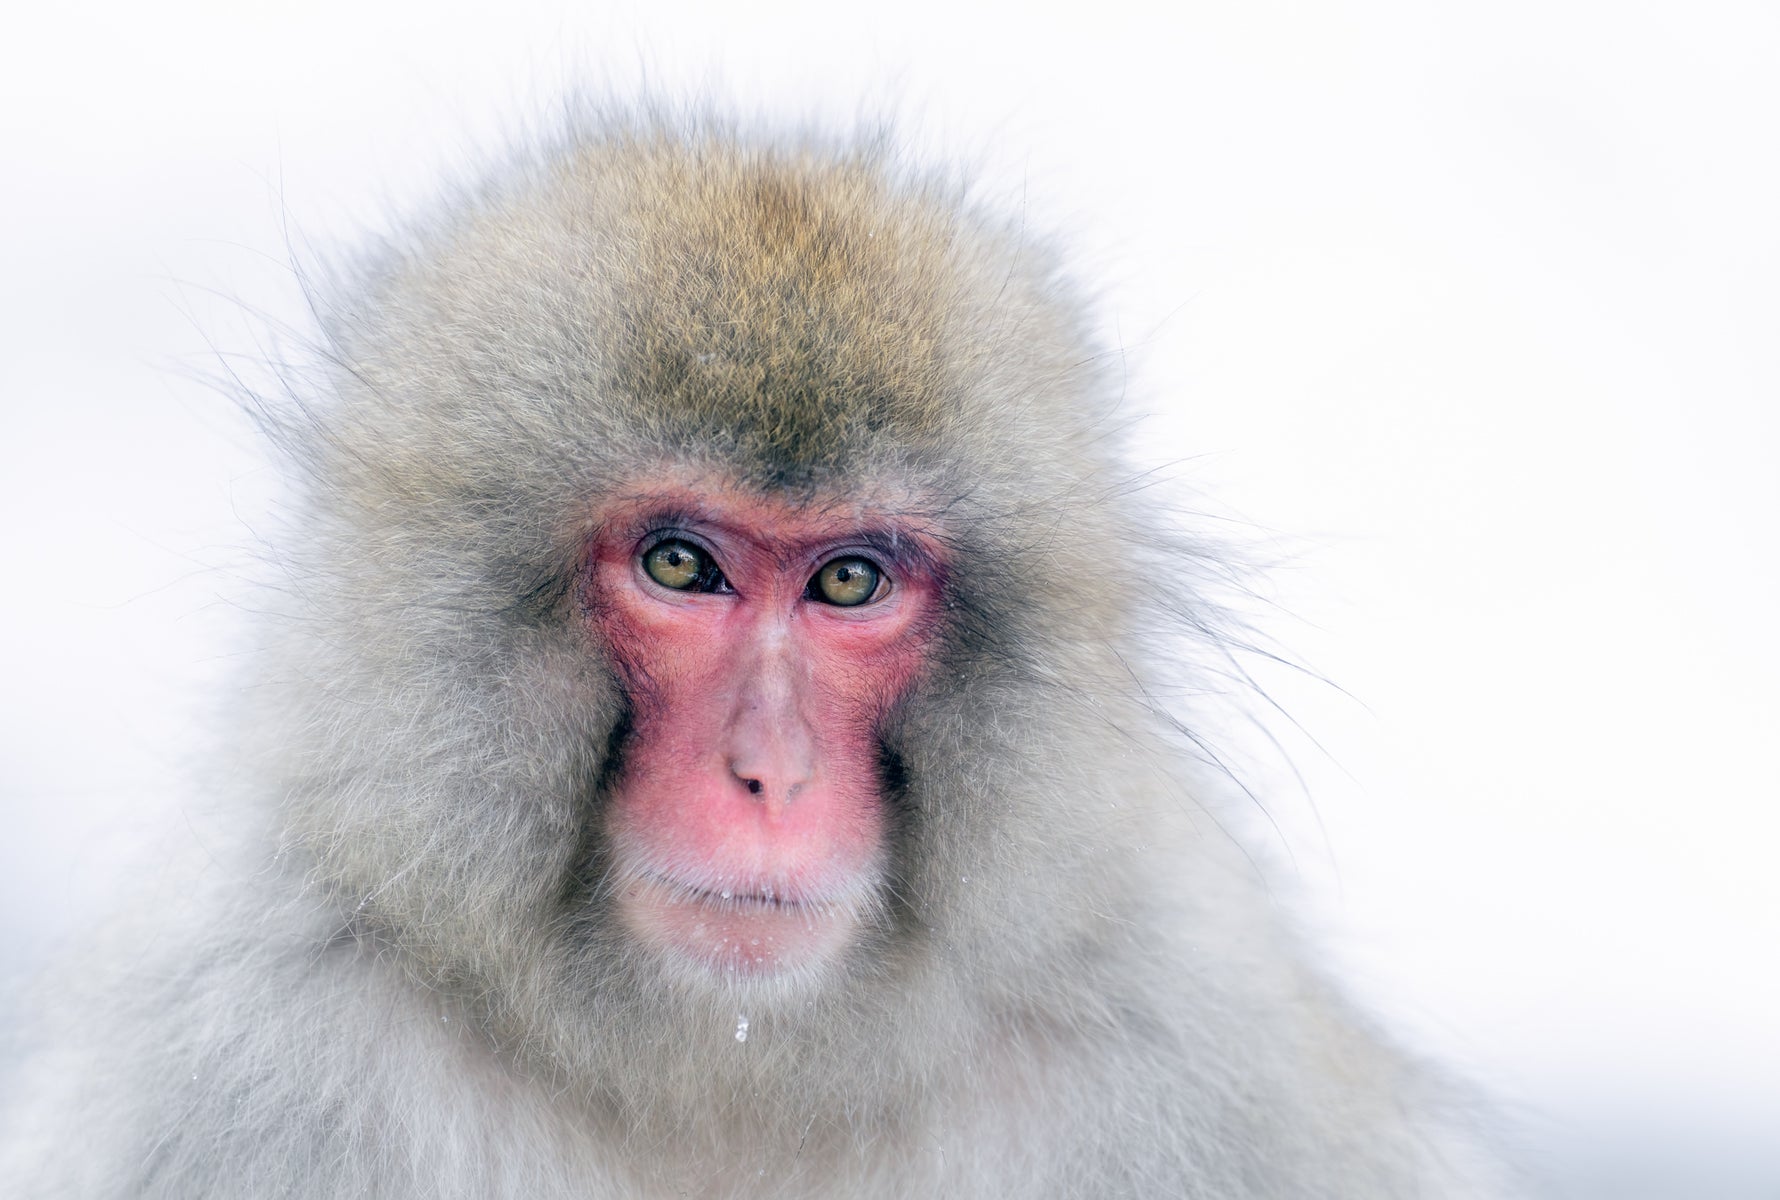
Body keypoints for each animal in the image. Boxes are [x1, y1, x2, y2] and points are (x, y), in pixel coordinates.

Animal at [0, 114, 1509, 1198]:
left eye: (849, 580)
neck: (720, 1077)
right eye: (681, 566)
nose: (769, 774)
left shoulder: (1199, 1039)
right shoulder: (235, 1039)